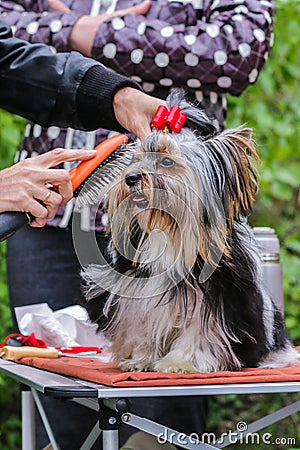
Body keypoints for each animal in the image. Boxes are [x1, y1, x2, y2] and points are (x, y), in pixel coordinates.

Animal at [81, 90, 298, 372]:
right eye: (135, 160)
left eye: (166, 161)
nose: (130, 178)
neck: (166, 229)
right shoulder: (137, 294)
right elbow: (141, 325)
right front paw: (140, 359)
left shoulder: (214, 299)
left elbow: (199, 332)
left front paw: (180, 363)